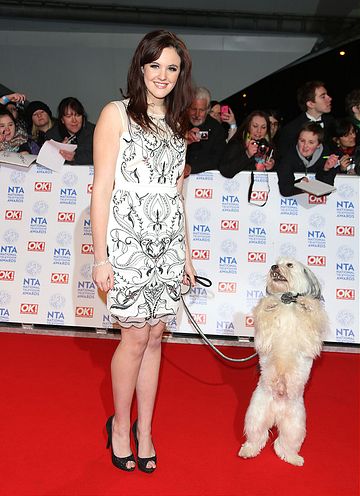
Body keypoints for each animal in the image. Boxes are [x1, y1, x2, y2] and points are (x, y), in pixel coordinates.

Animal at [240, 258, 328, 466]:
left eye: (289, 265)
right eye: (275, 263)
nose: (273, 267)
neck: (288, 304)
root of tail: (276, 412)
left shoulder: (310, 340)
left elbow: (311, 318)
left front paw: (306, 303)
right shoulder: (264, 337)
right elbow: (264, 318)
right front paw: (270, 302)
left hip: (295, 424)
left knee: (284, 444)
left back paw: (293, 458)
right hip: (256, 414)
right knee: (257, 437)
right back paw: (248, 450)